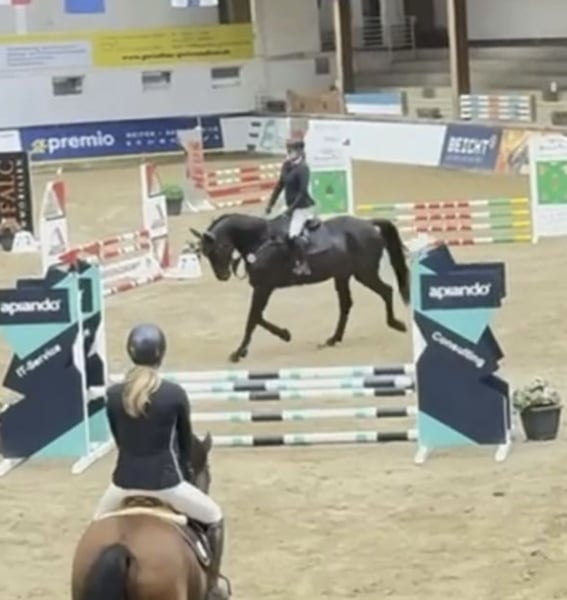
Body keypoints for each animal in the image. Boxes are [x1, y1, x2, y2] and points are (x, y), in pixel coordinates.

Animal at [190, 211, 410, 362]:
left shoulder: (263, 287)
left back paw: (396, 324)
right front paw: (284, 335)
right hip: (343, 276)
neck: (260, 241)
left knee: (386, 291)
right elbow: (258, 317)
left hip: (364, 273)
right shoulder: (263, 288)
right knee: (346, 305)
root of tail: (368, 223)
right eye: (205, 254)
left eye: (217, 249)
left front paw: (238, 353)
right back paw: (333, 339)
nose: (223, 276)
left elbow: (252, 319)